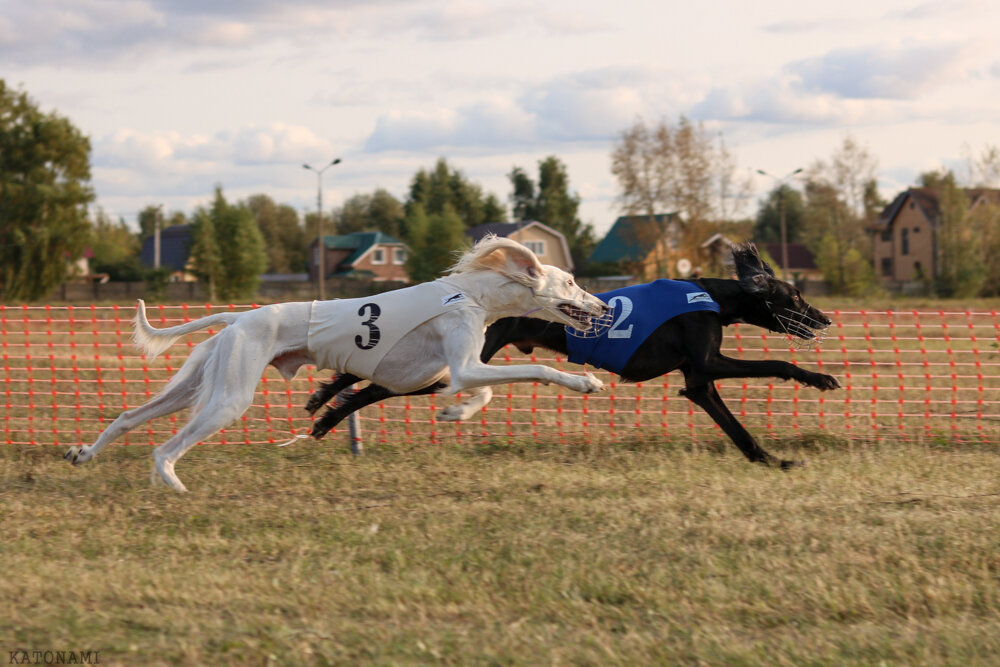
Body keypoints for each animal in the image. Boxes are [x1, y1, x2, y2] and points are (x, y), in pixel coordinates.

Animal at [66, 237, 608, 494]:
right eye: (571, 282)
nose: (603, 306)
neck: (473, 293)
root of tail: (240, 317)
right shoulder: (462, 365)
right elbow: (527, 374)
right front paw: (584, 381)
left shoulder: (440, 374)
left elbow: (481, 392)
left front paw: (457, 413)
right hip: (230, 398)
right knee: (166, 447)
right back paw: (174, 484)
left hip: (201, 379)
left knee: (128, 417)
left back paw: (84, 454)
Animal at [302, 243, 836, 468]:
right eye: (792, 296)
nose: (826, 319)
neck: (714, 297)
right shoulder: (706, 365)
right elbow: (777, 364)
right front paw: (821, 380)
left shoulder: (698, 382)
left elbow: (736, 428)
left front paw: (771, 461)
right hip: (464, 363)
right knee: (374, 387)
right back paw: (328, 416)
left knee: (371, 381)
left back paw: (324, 407)